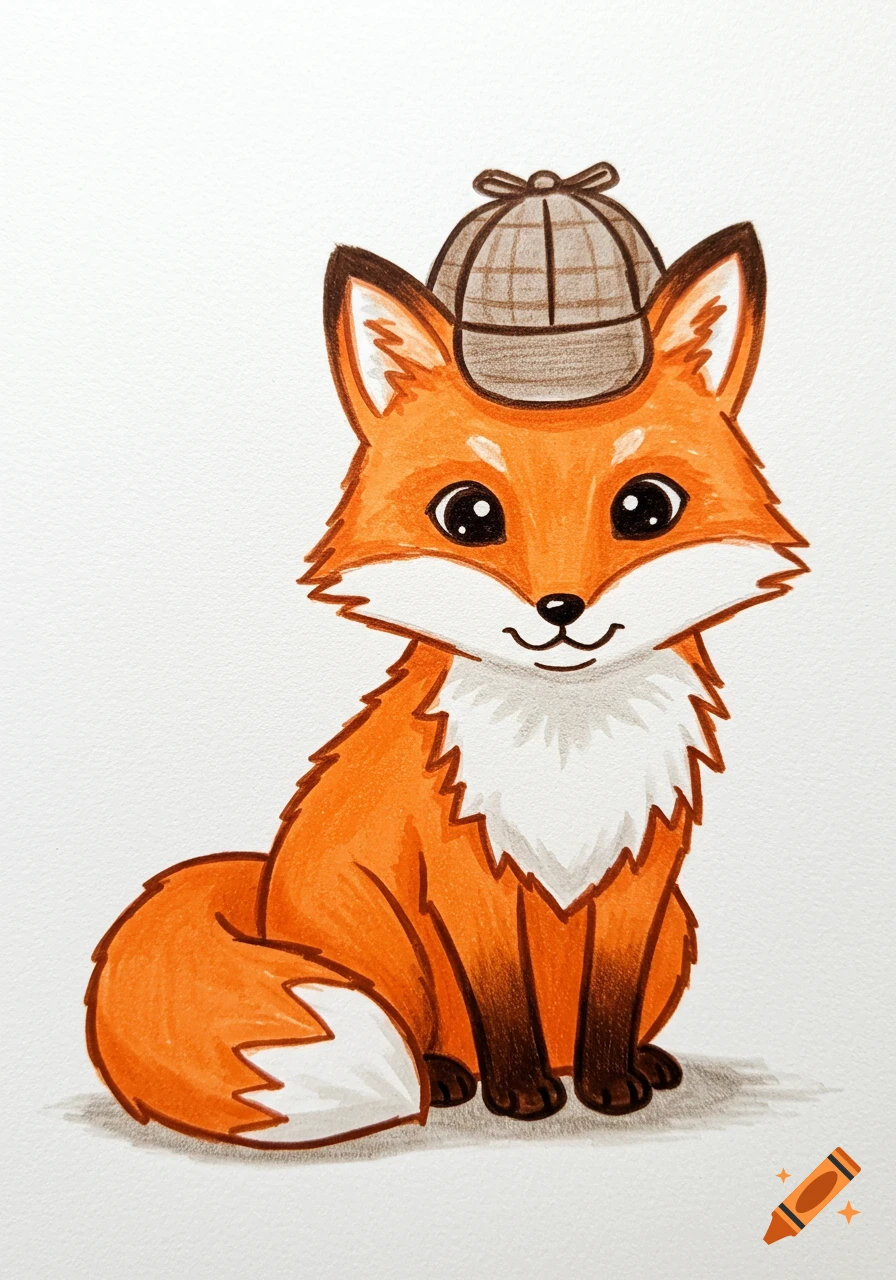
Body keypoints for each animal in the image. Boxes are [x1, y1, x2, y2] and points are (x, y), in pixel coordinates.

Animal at [86, 220, 806, 1149]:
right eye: (470, 516)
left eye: (646, 508)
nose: (560, 610)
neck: (564, 745)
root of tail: (262, 887)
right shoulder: (465, 874)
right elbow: (501, 1002)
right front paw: (522, 1093)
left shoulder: (643, 876)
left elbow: (608, 1000)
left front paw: (610, 1084)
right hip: (381, 940)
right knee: (430, 1027)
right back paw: (448, 1076)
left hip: (678, 926)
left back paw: (630, 1065)